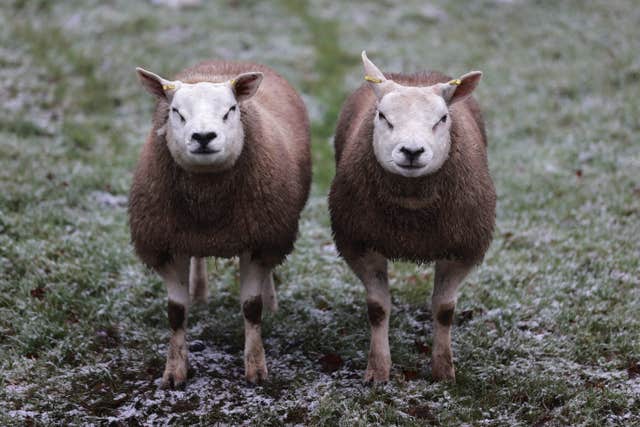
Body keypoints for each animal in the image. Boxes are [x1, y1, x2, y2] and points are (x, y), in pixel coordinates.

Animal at [129, 59, 310, 388]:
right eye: (176, 111)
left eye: (230, 110)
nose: (203, 137)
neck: (208, 207)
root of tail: (228, 63)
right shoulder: (166, 245)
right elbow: (176, 312)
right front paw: (174, 372)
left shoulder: (259, 240)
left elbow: (251, 308)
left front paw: (256, 369)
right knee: (198, 259)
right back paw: (199, 292)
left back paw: (271, 300)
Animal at [328, 51, 498, 382]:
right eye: (383, 116)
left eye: (442, 119)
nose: (411, 151)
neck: (412, 215)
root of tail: (413, 75)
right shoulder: (361, 243)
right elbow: (378, 308)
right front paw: (378, 370)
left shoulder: (461, 249)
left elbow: (444, 310)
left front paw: (443, 370)